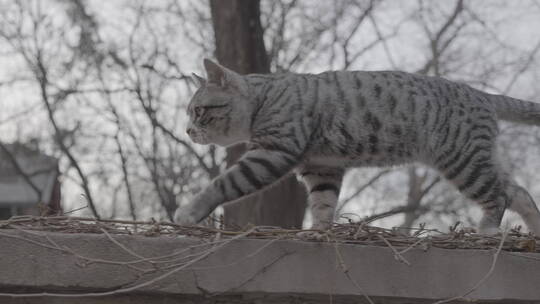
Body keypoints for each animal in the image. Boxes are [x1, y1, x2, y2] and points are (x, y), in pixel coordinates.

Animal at [176, 58, 540, 235]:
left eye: (198, 111)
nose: (188, 130)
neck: (264, 98)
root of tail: (483, 94)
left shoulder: (271, 153)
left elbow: (222, 184)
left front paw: (188, 211)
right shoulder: (322, 167)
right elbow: (323, 204)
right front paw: (319, 232)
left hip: (463, 162)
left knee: (500, 196)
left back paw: (487, 230)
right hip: (476, 159)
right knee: (519, 191)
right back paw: (534, 231)